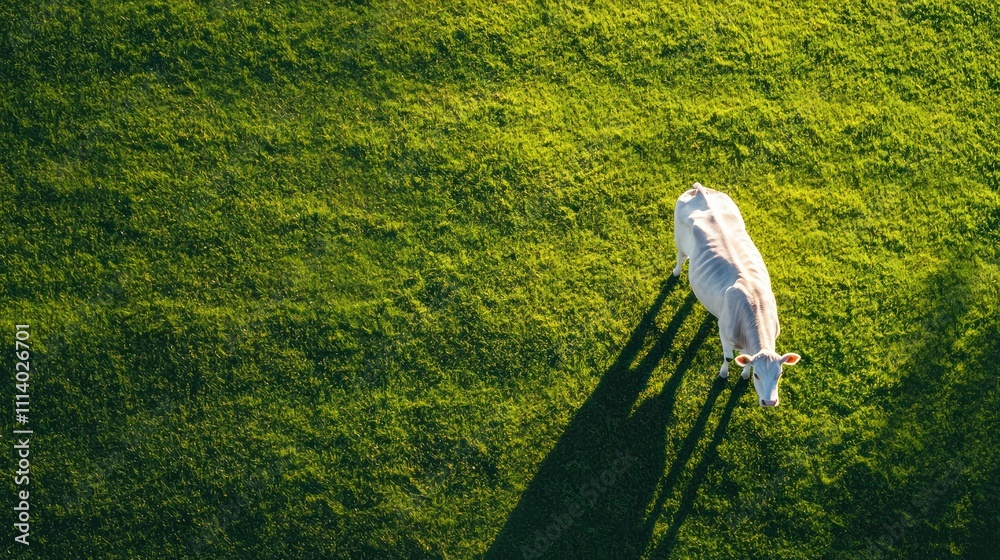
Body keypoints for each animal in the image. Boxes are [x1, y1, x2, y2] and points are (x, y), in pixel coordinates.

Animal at [672, 182, 800, 407]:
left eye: (779, 374)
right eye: (758, 375)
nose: (769, 402)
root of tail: (700, 189)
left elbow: (746, 359)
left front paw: (743, 375)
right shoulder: (724, 335)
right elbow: (728, 358)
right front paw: (724, 374)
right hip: (679, 241)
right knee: (681, 258)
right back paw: (676, 273)